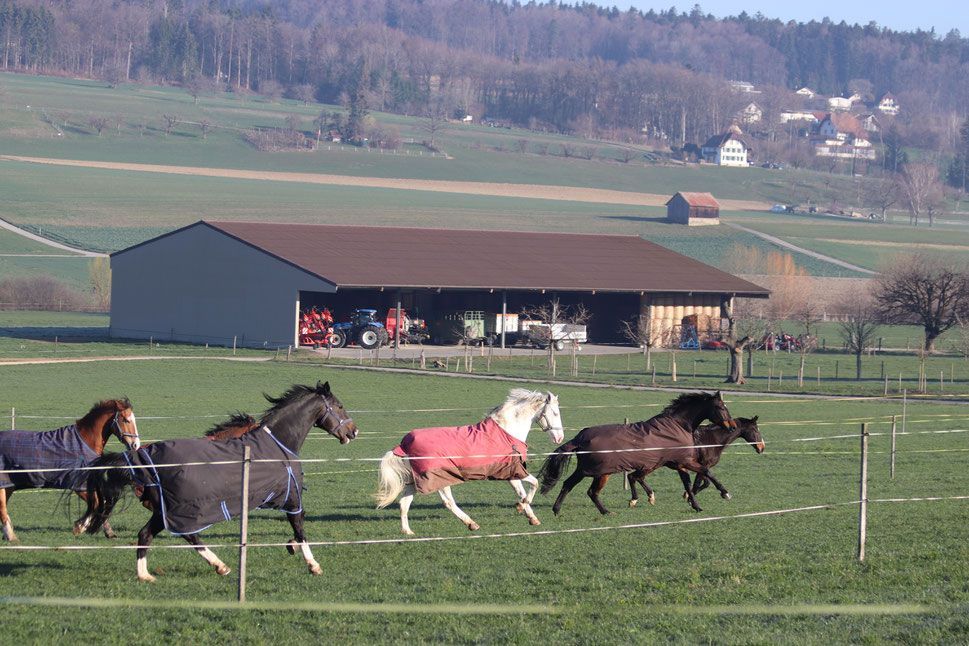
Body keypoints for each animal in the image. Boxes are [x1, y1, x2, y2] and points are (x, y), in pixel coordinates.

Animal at [0, 398, 140, 542]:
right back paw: (11, 536)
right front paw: (81, 527)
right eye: (126, 420)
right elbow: (97, 505)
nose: (136, 444)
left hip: (9, 486)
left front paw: (106, 532)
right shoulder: (79, 486)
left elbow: (100, 504)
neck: (85, 442)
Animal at [81, 381, 356, 582]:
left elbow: (295, 532)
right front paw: (313, 564)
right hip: (175, 509)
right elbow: (300, 529)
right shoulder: (291, 498)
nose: (353, 431)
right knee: (169, 535)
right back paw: (205, 567)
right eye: (340, 406)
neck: (278, 443)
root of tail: (142, 459)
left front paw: (292, 548)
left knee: (155, 535)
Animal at [375, 389, 564, 534]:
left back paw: (408, 532)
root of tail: (404, 444)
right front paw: (521, 506)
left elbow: (522, 491)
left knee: (404, 503)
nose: (559, 438)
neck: (507, 431)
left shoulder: (510, 474)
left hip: (416, 481)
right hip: (440, 479)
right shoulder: (514, 471)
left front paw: (532, 518)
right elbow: (533, 484)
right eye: (555, 413)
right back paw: (471, 524)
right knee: (448, 503)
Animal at [538, 391, 736, 516]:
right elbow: (707, 472)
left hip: (591, 471)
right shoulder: (685, 461)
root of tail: (580, 436)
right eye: (721, 407)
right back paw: (603, 512)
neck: (678, 425)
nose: (732, 426)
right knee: (589, 491)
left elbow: (687, 484)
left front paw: (696, 506)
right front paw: (725, 493)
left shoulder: (679, 464)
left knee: (573, 486)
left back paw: (561, 510)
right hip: (598, 472)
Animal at [627, 416, 764, 510]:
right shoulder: (702, 465)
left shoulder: (701, 466)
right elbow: (702, 482)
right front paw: (690, 497)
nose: (761, 448)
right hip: (651, 465)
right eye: (755, 430)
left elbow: (704, 482)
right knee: (632, 476)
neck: (711, 440)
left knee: (637, 477)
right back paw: (635, 499)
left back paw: (649, 497)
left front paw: (687, 496)